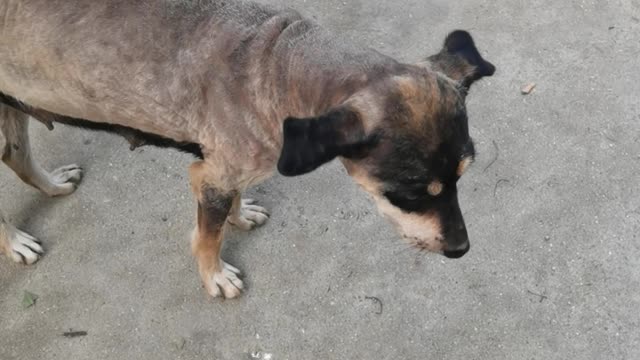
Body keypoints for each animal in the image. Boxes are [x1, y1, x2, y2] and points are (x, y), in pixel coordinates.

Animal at [0, 0, 496, 298]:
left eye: (462, 176)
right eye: (409, 194)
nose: (462, 249)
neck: (277, 65)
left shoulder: (224, 170)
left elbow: (231, 205)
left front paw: (239, 216)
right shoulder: (210, 176)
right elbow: (208, 236)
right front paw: (214, 275)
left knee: (17, 155)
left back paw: (53, 185)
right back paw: (14, 242)